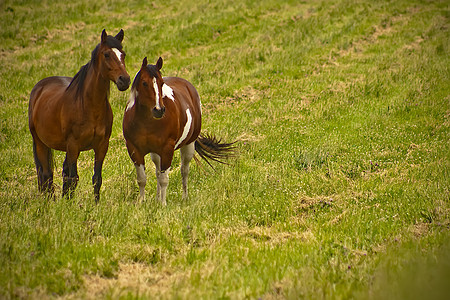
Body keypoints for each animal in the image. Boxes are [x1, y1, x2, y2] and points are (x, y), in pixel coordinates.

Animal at [28, 29, 130, 202]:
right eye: (107, 54)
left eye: (122, 54)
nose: (125, 80)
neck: (89, 106)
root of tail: (39, 88)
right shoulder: (73, 145)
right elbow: (73, 178)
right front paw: (69, 205)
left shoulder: (102, 146)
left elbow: (97, 178)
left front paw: (95, 204)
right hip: (41, 143)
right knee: (46, 175)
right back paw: (50, 202)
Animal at [123, 56, 236, 204]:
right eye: (144, 83)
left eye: (161, 83)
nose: (159, 110)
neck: (146, 122)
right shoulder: (134, 150)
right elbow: (142, 179)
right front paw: (142, 202)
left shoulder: (167, 149)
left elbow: (164, 179)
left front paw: (163, 204)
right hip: (156, 153)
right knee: (158, 171)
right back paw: (157, 198)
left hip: (188, 146)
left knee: (184, 170)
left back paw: (184, 197)